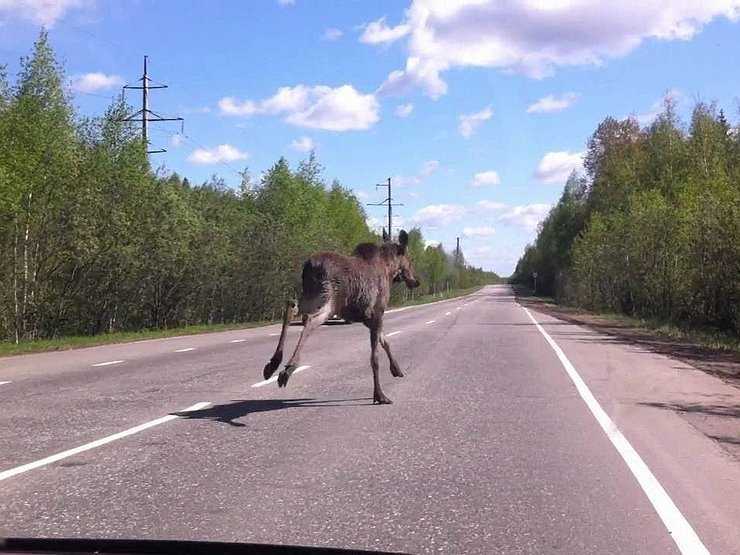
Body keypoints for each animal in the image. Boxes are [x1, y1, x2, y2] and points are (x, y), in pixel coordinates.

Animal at [264, 229, 420, 404]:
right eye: (410, 260)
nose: (415, 281)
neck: (389, 270)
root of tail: (309, 266)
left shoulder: (367, 319)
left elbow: (385, 342)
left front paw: (396, 369)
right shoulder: (377, 312)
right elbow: (375, 357)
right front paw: (379, 394)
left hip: (310, 295)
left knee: (291, 305)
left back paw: (273, 363)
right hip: (329, 299)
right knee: (310, 320)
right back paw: (289, 368)